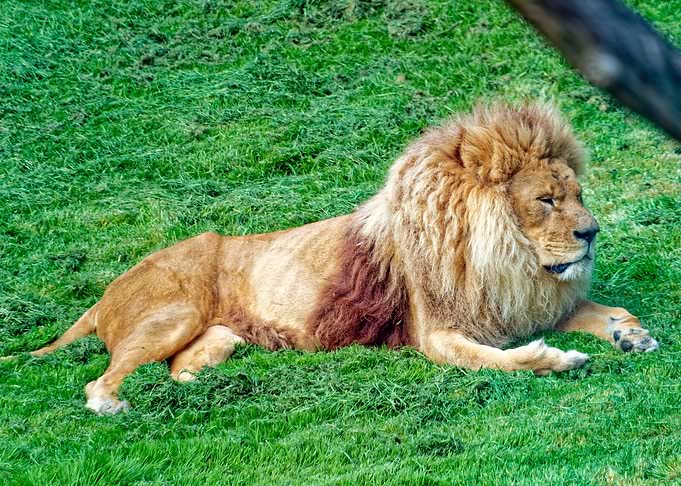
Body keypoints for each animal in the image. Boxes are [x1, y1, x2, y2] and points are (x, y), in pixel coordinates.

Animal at [4, 103, 659, 414]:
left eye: (577, 194)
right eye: (547, 200)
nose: (592, 232)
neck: (510, 262)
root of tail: (104, 293)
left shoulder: (535, 302)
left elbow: (606, 310)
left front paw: (630, 334)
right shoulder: (438, 333)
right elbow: (492, 362)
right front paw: (555, 360)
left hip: (216, 337)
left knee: (180, 369)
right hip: (172, 314)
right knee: (101, 377)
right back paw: (112, 404)